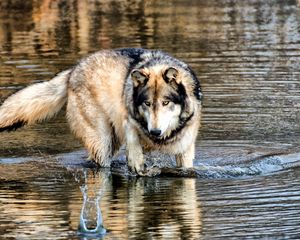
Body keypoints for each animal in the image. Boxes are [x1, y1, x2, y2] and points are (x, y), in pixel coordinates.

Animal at [0, 48, 203, 174]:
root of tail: (73, 70)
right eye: (147, 103)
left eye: (165, 102)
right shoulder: (127, 118)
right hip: (103, 141)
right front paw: (136, 163)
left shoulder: (185, 148)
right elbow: (133, 138)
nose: (155, 131)